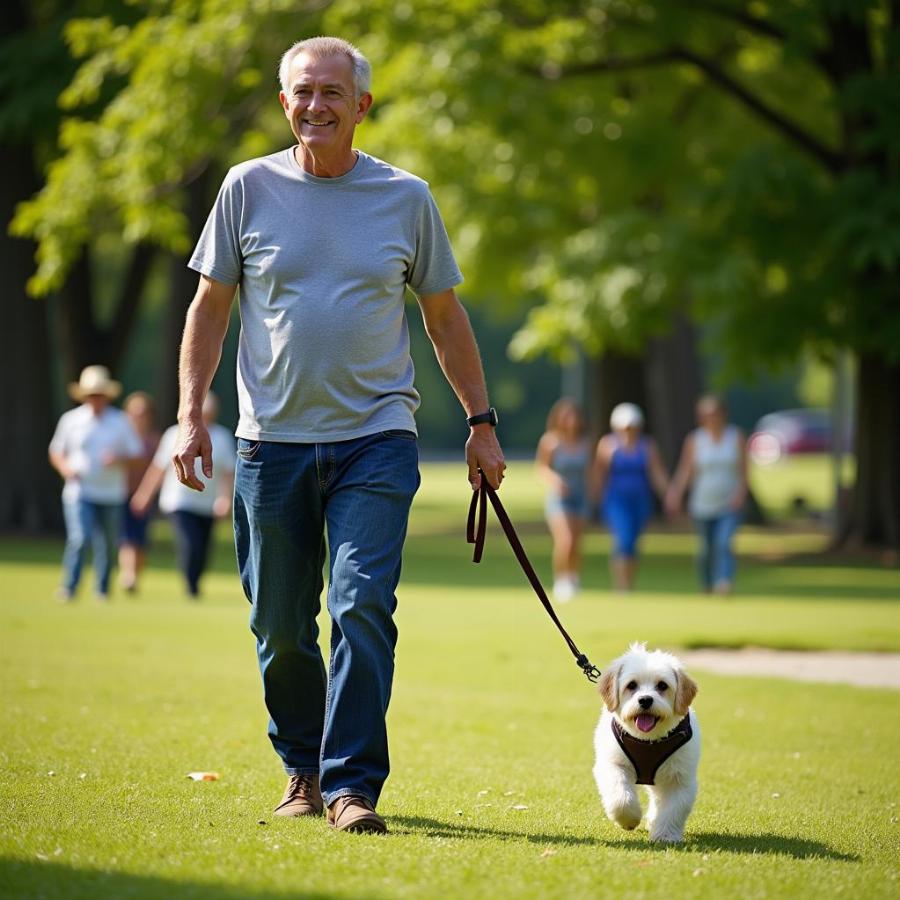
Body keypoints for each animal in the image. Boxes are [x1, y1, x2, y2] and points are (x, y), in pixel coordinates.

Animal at [596, 644, 700, 840]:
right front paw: (628, 819)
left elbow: (674, 809)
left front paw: (666, 835)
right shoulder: (613, 765)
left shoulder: (679, 778)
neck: (647, 740)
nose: (645, 699)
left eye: (662, 685)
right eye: (632, 685)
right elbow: (620, 797)